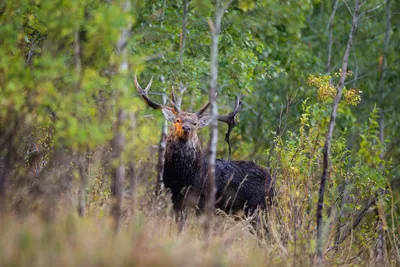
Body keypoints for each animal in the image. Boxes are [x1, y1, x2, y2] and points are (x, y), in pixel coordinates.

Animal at [133, 72, 274, 221]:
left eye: (195, 123)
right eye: (178, 120)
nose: (186, 128)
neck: (183, 178)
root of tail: (273, 184)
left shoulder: (203, 200)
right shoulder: (174, 196)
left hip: (258, 209)